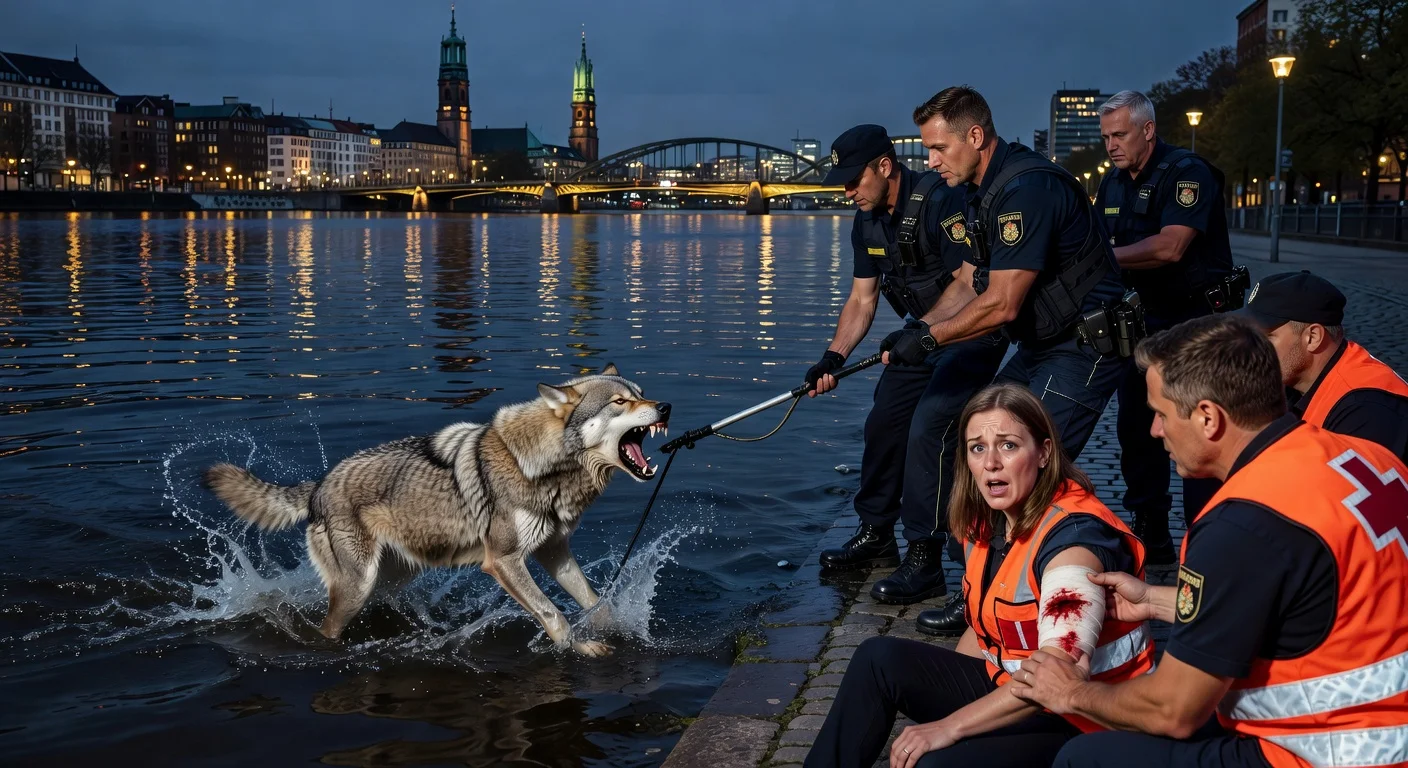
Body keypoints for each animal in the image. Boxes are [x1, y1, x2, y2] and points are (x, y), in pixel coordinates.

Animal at [203, 364, 670, 657]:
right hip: (357, 586)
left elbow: (593, 601)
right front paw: (582, 648)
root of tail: (318, 487)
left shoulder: (552, 550)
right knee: (326, 628)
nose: (665, 407)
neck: (546, 467)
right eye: (620, 402)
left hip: (390, 578)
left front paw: (617, 628)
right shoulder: (503, 561)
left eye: (642, 394)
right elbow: (553, 614)